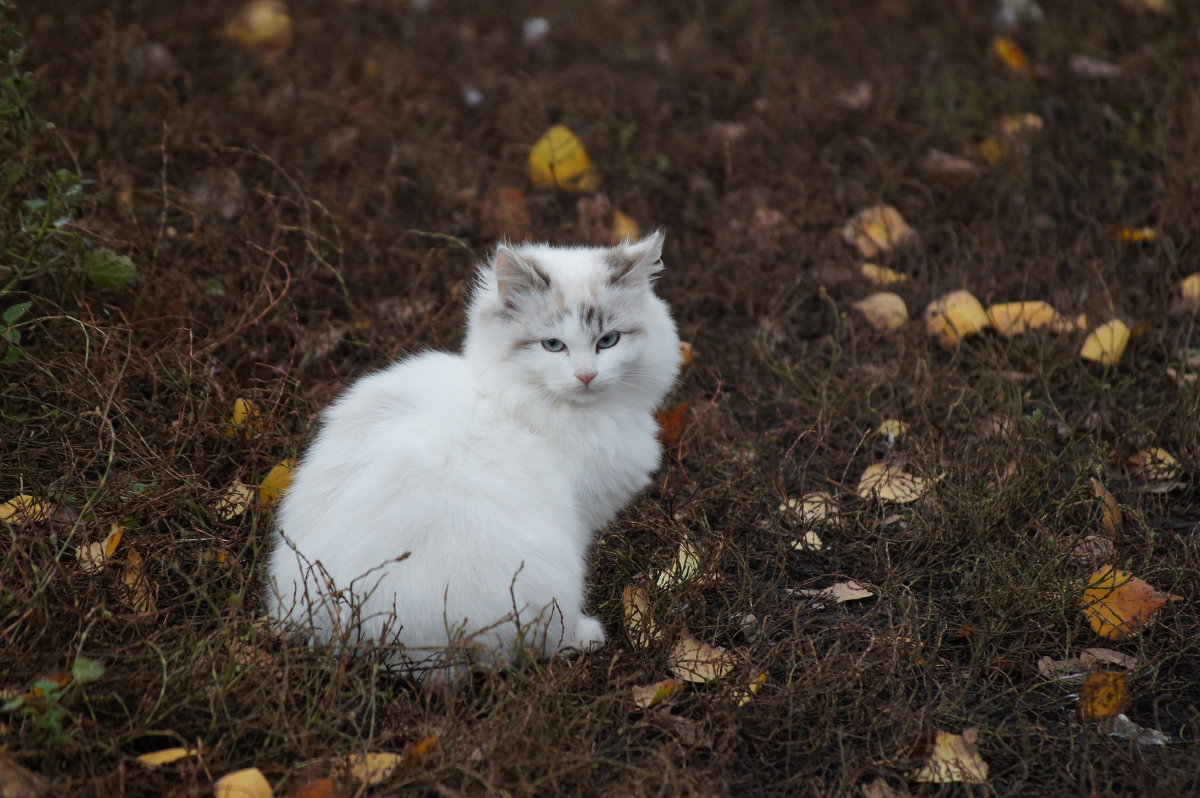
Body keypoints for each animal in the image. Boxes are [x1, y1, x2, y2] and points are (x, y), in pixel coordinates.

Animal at [271, 229, 681, 672]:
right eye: (553, 345)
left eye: (608, 341)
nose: (586, 375)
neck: (517, 405)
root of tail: (345, 628)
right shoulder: (578, 520)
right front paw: (583, 633)